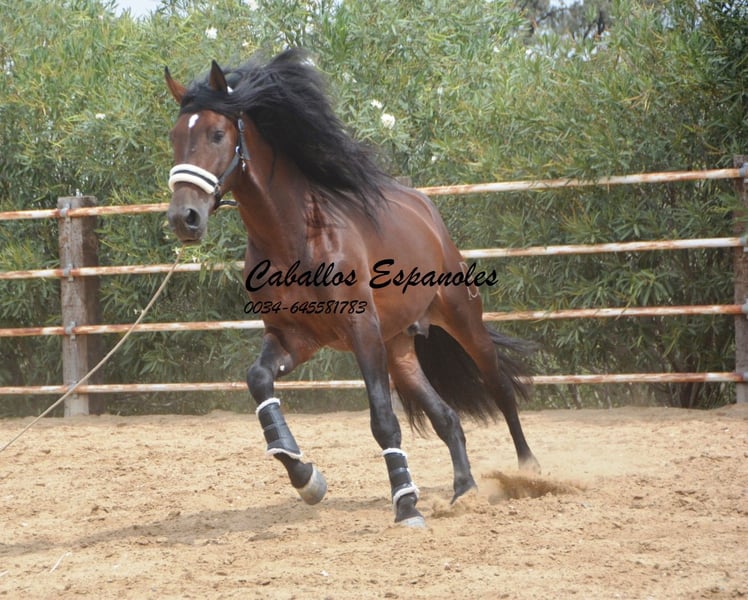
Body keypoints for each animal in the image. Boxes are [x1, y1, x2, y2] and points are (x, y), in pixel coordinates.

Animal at [164, 48, 539, 527]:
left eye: (216, 133)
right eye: (175, 137)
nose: (184, 218)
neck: (296, 236)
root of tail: (427, 213)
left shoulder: (361, 331)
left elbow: (382, 419)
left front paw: (406, 505)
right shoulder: (295, 337)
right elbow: (259, 382)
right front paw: (306, 477)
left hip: (461, 319)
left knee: (499, 387)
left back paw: (529, 472)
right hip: (399, 347)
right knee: (447, 417)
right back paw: (463, 491)